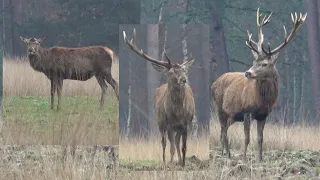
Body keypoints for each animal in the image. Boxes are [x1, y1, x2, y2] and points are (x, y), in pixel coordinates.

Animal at [124, 28, 196, 167]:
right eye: (171, 72)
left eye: (184, 70)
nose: (183, 79)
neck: (178, 112)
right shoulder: (168, 124)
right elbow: (170, 146)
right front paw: (170, 163)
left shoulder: (186, 124)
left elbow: (184, 147)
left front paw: (183, 163)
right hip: (160, 122)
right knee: (164, 142)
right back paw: (165, 161)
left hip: (177, 128)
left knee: (176, 142)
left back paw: (179, 161)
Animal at [211, 8, 306, 162]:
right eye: (254, 61)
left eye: (265, 64)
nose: (248, 72)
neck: (262, 100)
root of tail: (213, 83)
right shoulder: (247, 111)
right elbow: (247, 138)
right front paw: (244, 159)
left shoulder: (263, 115)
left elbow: (260, 138)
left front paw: (260, 159)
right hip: (219, 107)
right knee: (223, 130)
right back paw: (227, 155)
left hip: (233, 115)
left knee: (223, 130)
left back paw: (225, 153)